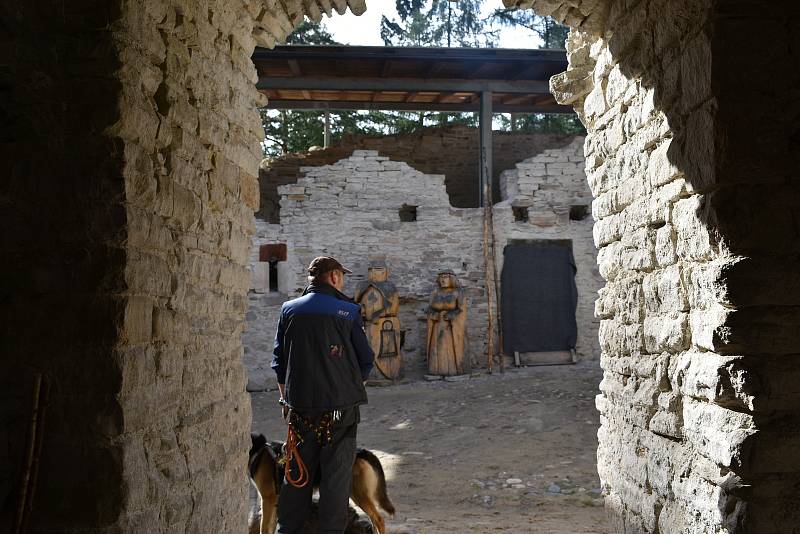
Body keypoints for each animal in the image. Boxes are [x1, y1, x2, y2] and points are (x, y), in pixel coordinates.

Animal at [245, 436, 392, 534]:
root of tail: (361, 451)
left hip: (358, 494)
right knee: (373, 521)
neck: (257, 451)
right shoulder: (274, 499)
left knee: (379, 520)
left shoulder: (268, 499)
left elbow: (264, 527)